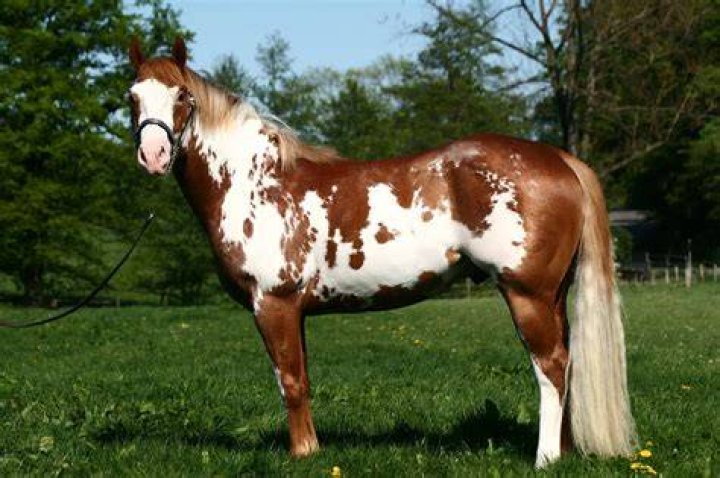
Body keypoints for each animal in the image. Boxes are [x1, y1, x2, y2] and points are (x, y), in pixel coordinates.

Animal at [127, 37, 636, 468]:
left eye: (182, 97)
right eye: (132, 97)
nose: (153, 155)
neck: (255, 183)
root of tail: (558, 159)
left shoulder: (273, 304)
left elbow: (289, 381)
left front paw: (301, 455)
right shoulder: (295, 311)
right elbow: (303, 379)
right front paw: (313, 449)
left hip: (527, 293)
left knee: (551, 366)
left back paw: (545, 458)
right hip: (553, 295)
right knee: (567, 362)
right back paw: (564, 452)